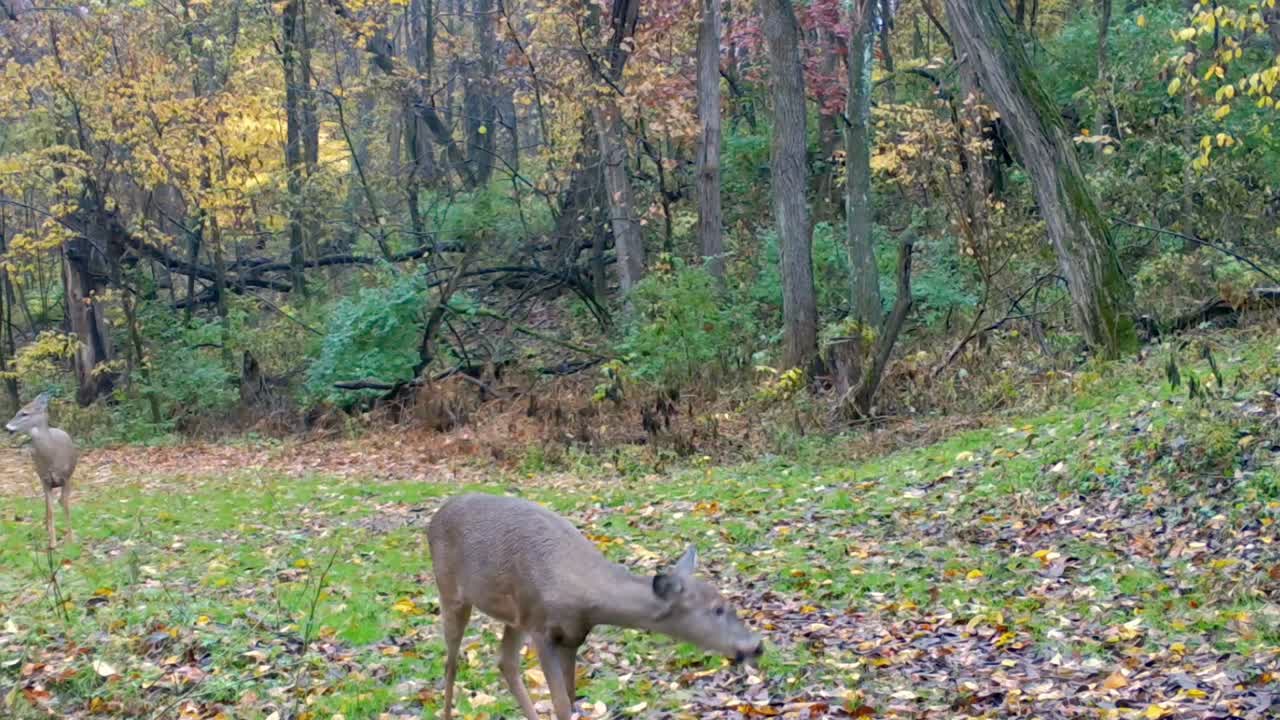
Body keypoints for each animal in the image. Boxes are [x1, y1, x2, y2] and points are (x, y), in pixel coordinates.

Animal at [5, 393, 78, 549]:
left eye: (24, 413)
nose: (7, 427)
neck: (52, 456)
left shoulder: (66, 478)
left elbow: (65, 504)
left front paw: (70, 540)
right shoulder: (45, 480)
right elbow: (50, 510)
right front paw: (53, 543)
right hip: (41, 477)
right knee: (46, 503)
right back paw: (46, 528)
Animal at [427, 493, 764, 720]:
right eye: (717, 609)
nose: (757, 646)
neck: (583, 595)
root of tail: (434, 516)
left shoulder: (571, 636)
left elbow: (570, 700)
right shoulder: (541, 629)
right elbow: (562, 704)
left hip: (515, 616)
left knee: (505, 661)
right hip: (450, 592)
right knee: (451, 661)